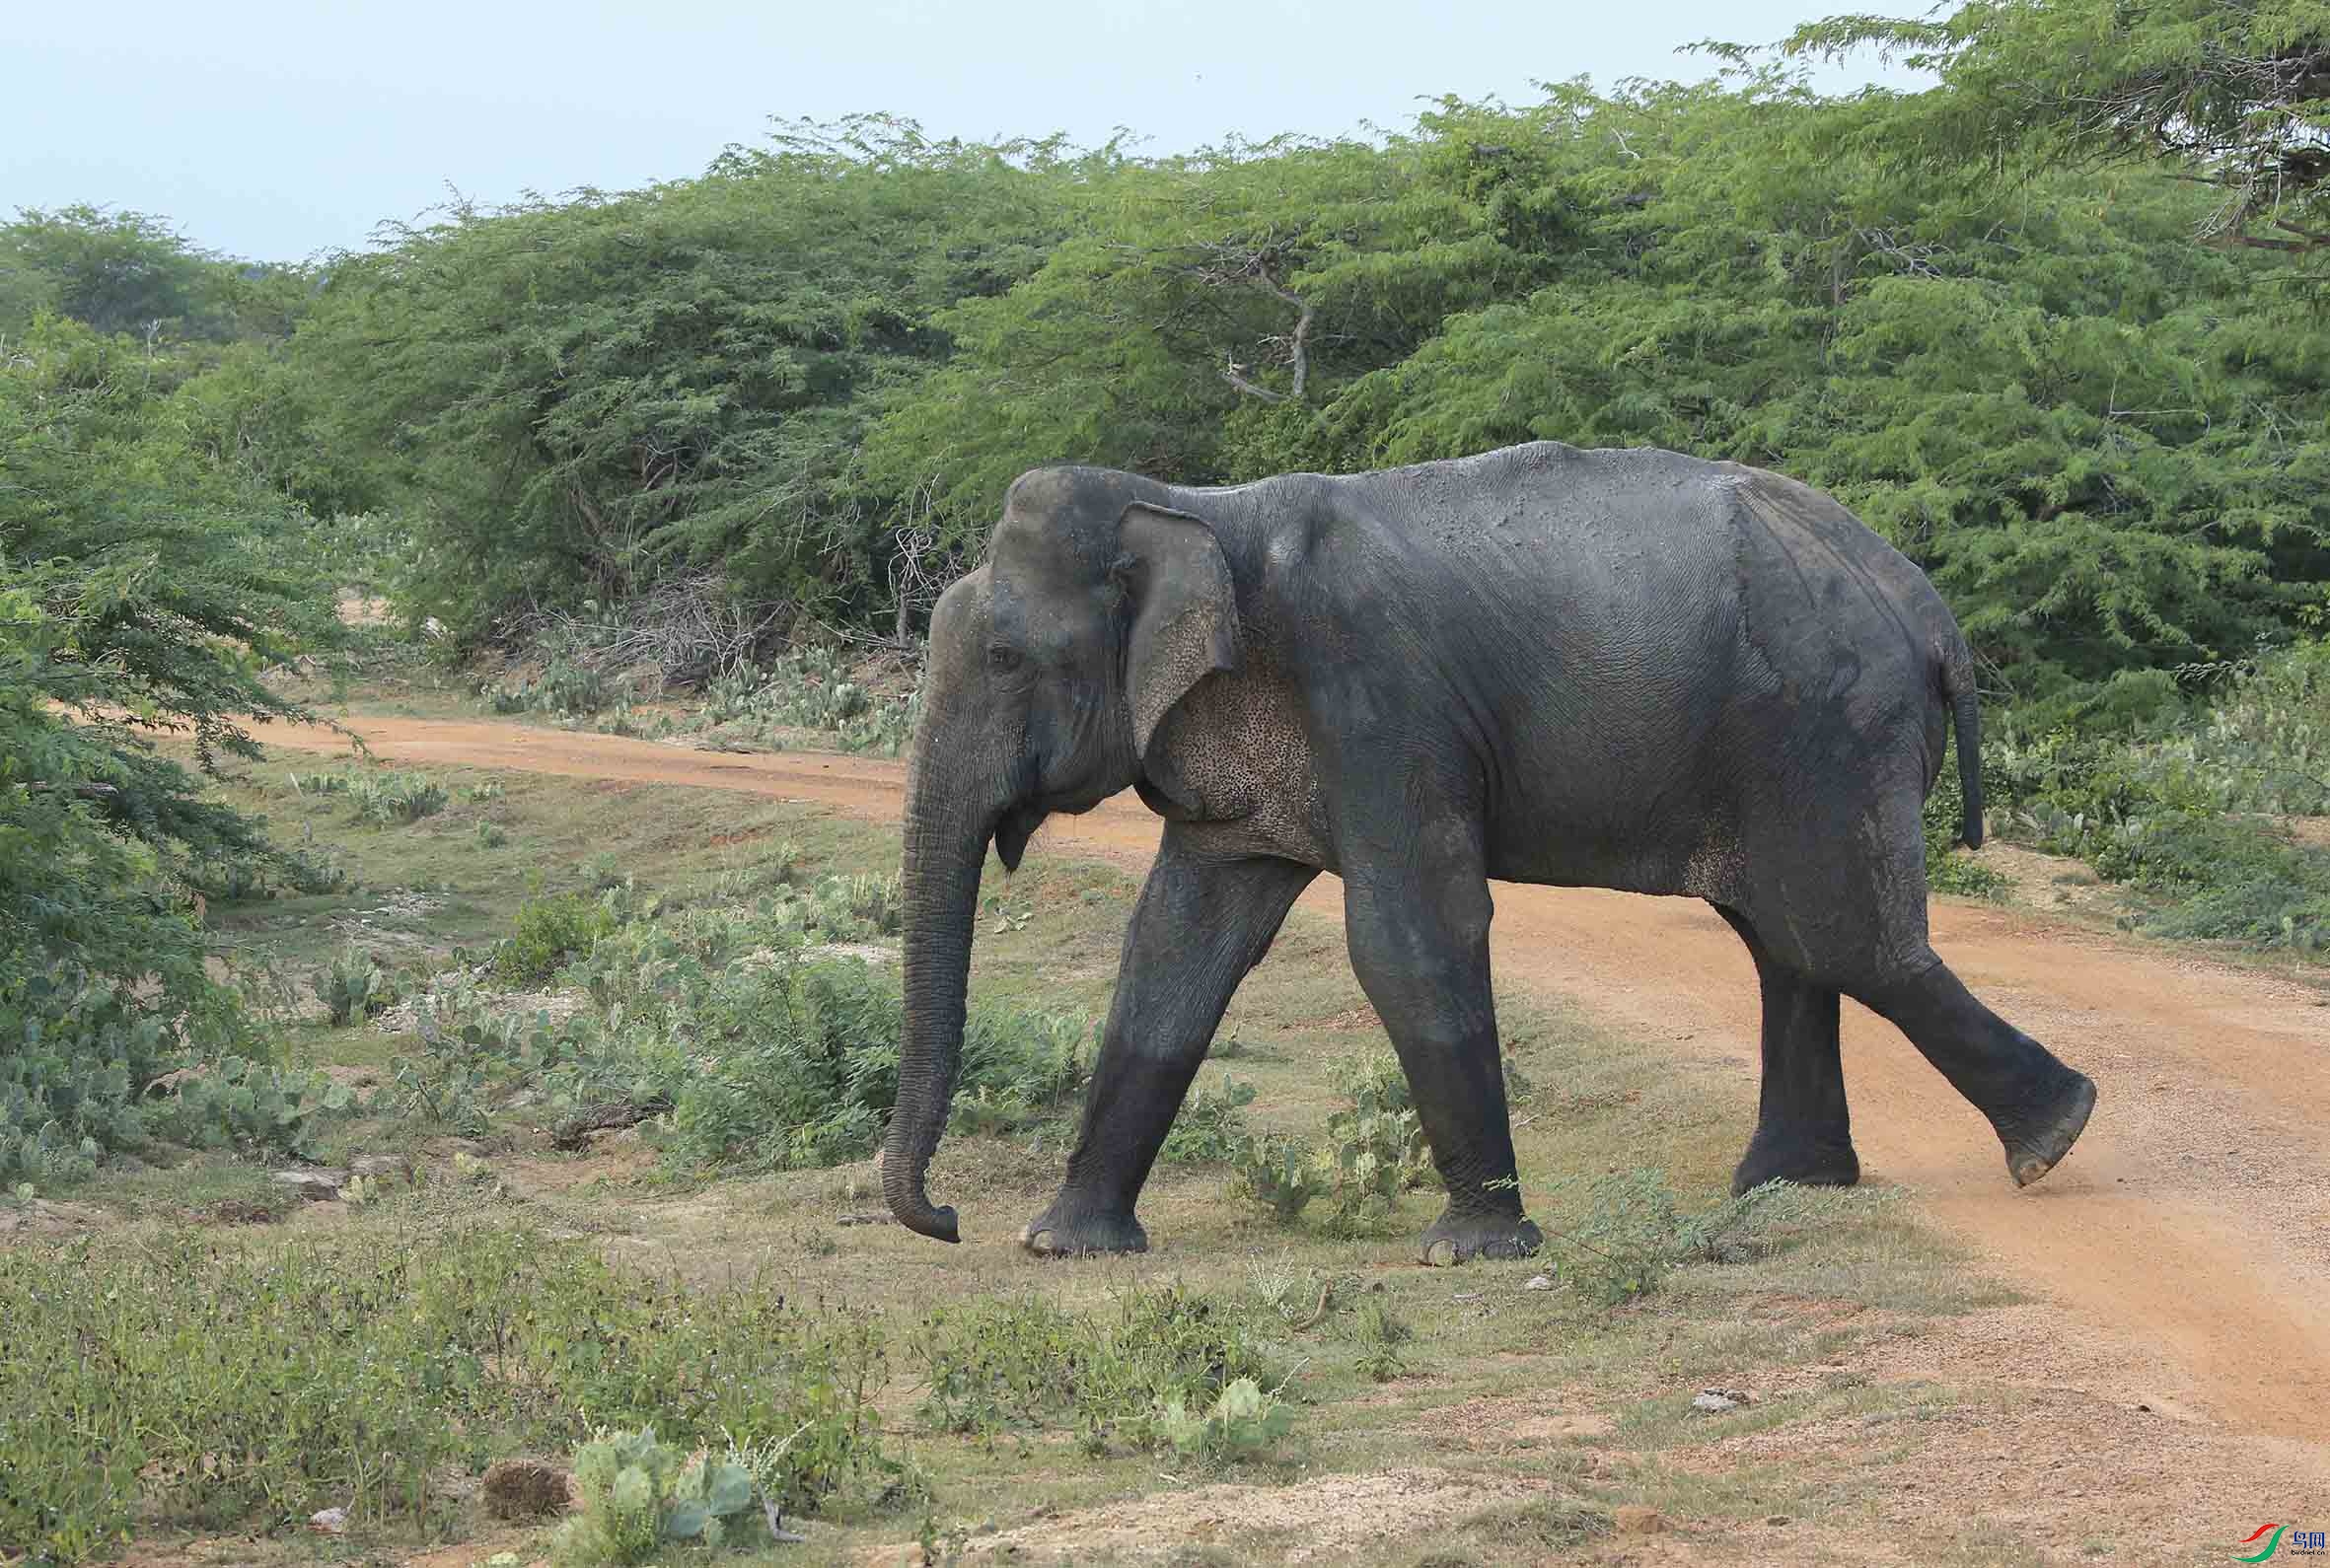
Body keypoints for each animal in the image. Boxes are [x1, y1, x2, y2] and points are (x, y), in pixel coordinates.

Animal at [880, 440, 2097, 1264]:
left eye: (1003, 658)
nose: (946, 1221)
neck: (1196, 506)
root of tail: (1929, 611)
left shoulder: (1377, 694)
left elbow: (1410, 934)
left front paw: (1472, 1252)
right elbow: (1177, 942)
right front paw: (1064, 1246)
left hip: (1826, 725)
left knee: (1841, 935)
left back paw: (2052, 1138)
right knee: (1788, 941)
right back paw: (1783, 1188)